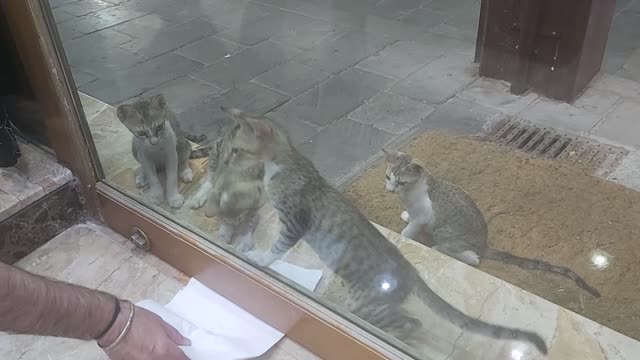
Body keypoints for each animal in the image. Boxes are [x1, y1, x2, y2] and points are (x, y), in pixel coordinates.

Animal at [221, 107, 552, 354]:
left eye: (236, 150)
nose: (224, 159)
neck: (284, 164)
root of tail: (408, 269)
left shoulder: (293, 222)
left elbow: (277, 247)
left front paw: (257, 257)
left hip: (364, 303)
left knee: (409, 323)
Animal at [382, 150, 604, 298]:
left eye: (401, 182)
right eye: (387, 177)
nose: (390, 190)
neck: (409, 195)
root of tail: (484, 243)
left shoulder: (423, 216)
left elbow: (409, 231)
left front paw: (403, 237)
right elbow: (410, 220)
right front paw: (405, 216)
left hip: (445, 232)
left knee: (468, 256)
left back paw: (457, 253)